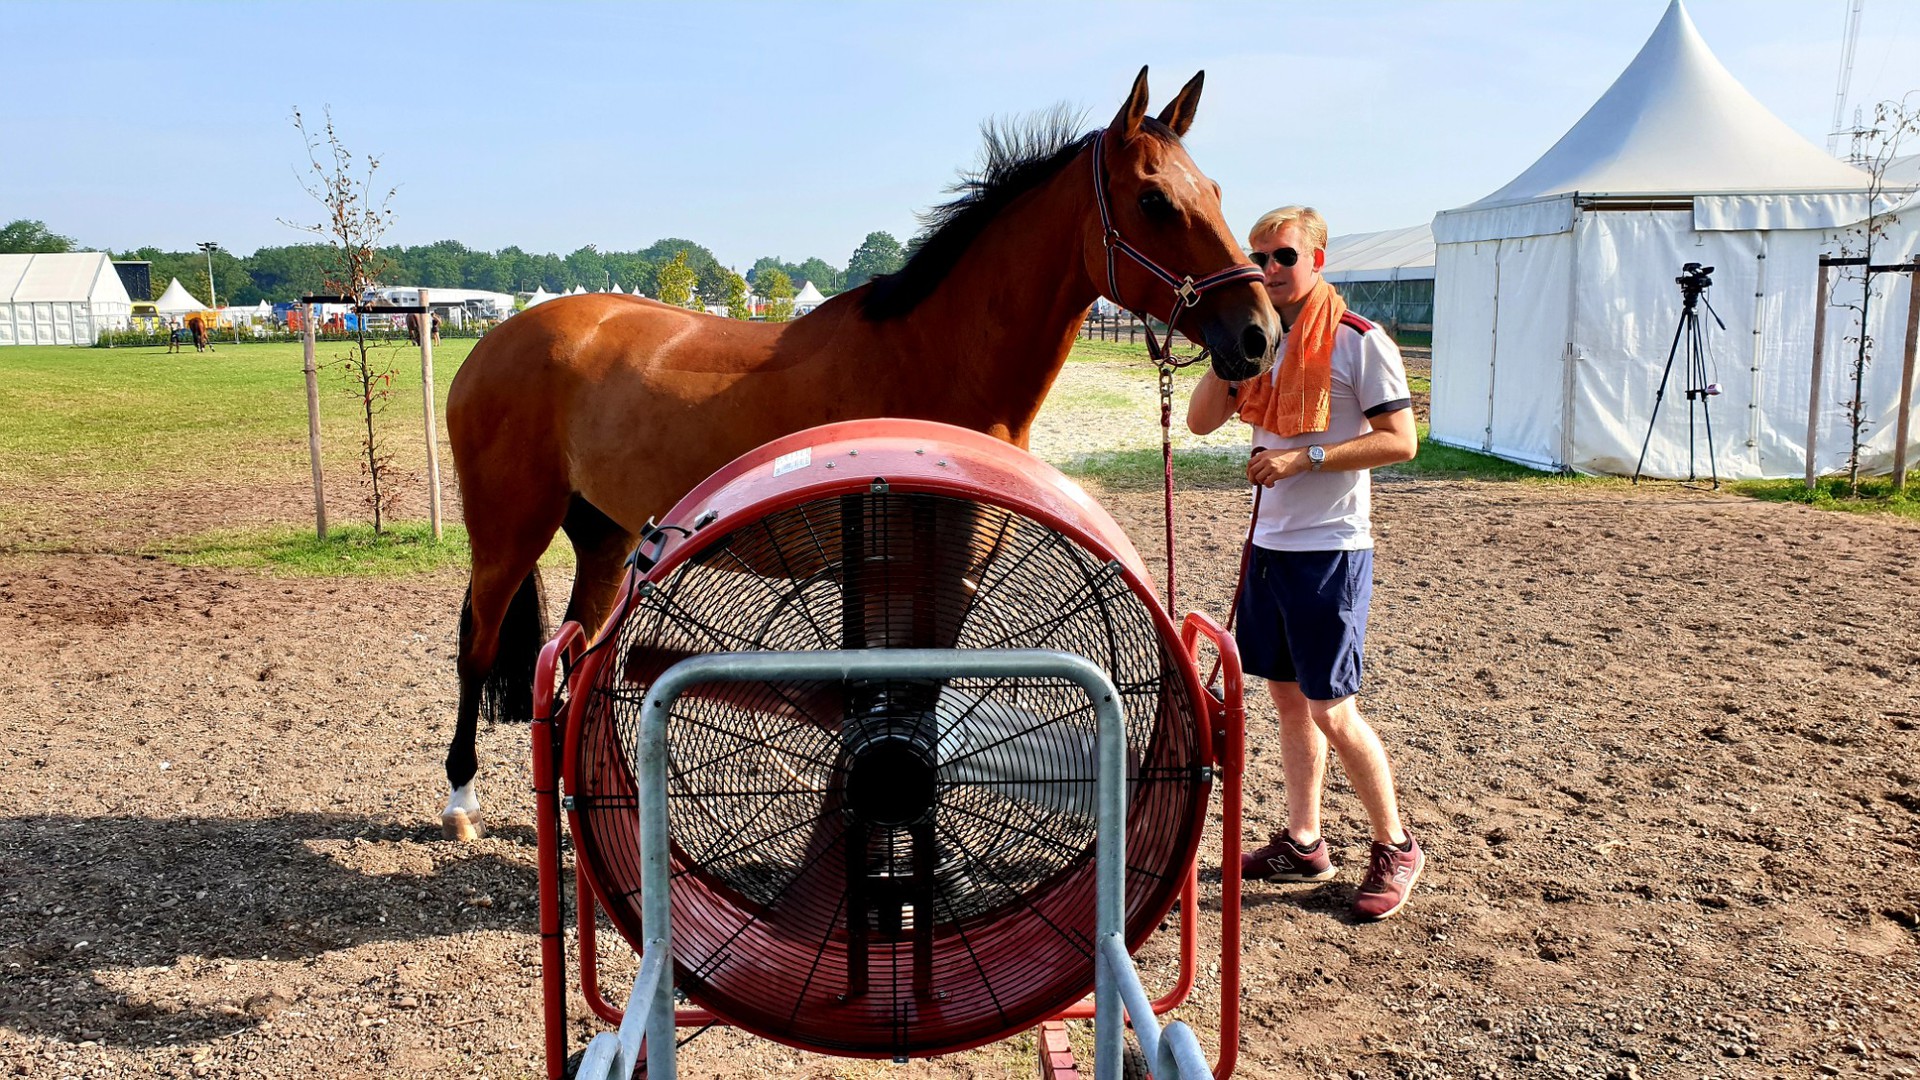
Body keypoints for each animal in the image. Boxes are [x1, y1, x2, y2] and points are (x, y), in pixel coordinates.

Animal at [435, 67, 1274, 837]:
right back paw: (461, 799)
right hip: (509, 533)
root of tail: (498, 340)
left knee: (573, 660)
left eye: (1215, 190)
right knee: (477, 647)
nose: (1258, 334)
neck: (934, 356)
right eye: (1155, 201)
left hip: (604, 539)